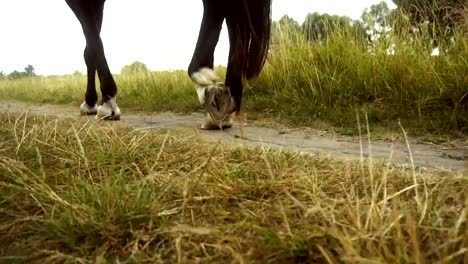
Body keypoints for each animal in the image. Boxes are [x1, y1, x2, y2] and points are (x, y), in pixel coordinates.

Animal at [64, 0, 272, 129]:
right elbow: (90, 46)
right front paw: (92, 101)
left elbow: (92, 41)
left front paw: (106, 101)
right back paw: (225, 100)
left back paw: (201, 78)